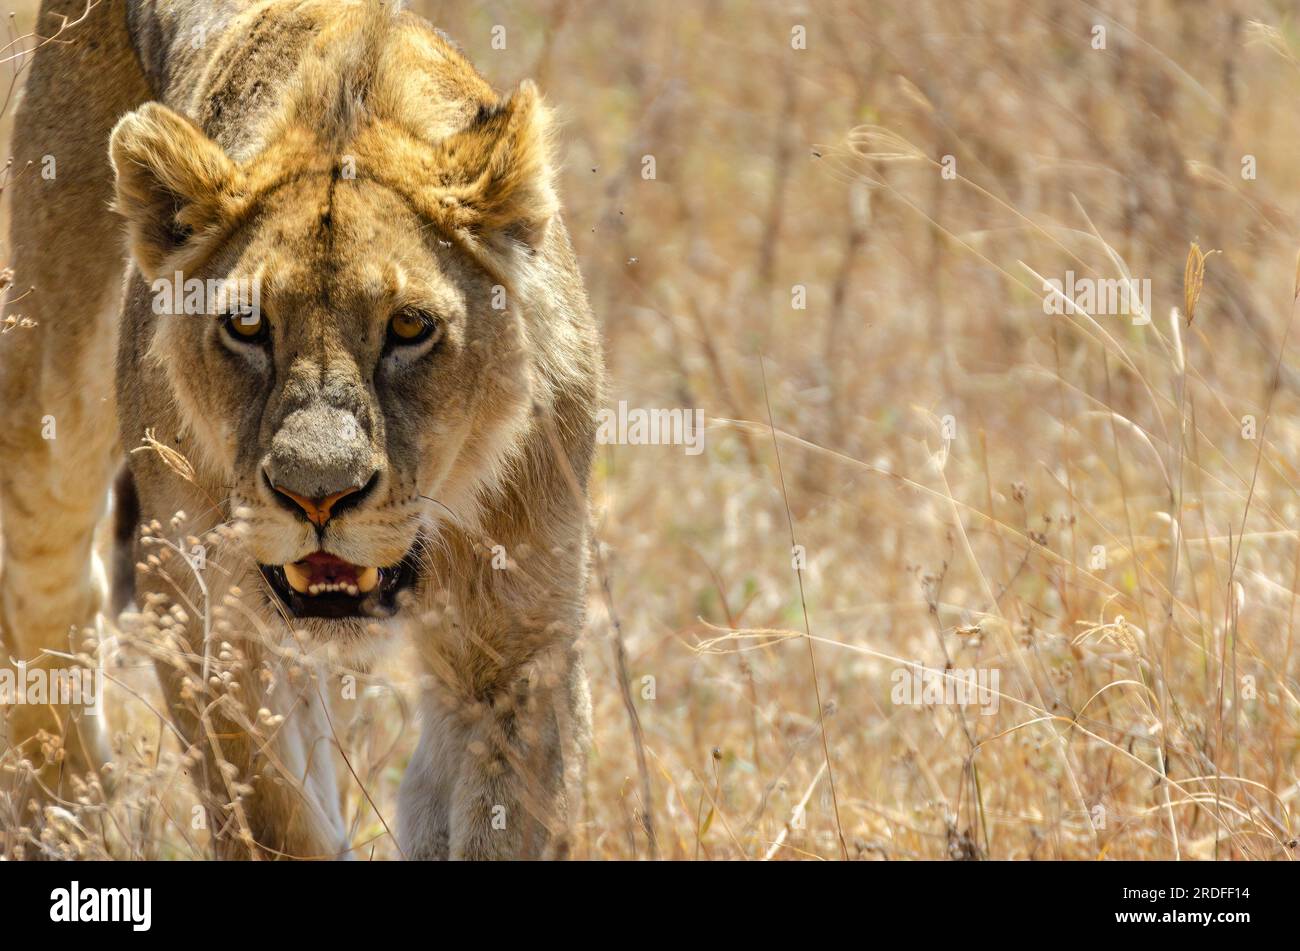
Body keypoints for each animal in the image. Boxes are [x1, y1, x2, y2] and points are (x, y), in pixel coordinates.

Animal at [0, 0, 601, 860]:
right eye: (248, 325)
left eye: (410, 326)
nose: (318, 498)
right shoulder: (205, 610)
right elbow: (271, 814)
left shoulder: (520, 641)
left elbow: (499, 814)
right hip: (51, 377)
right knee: (49, 583)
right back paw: (68, 814)